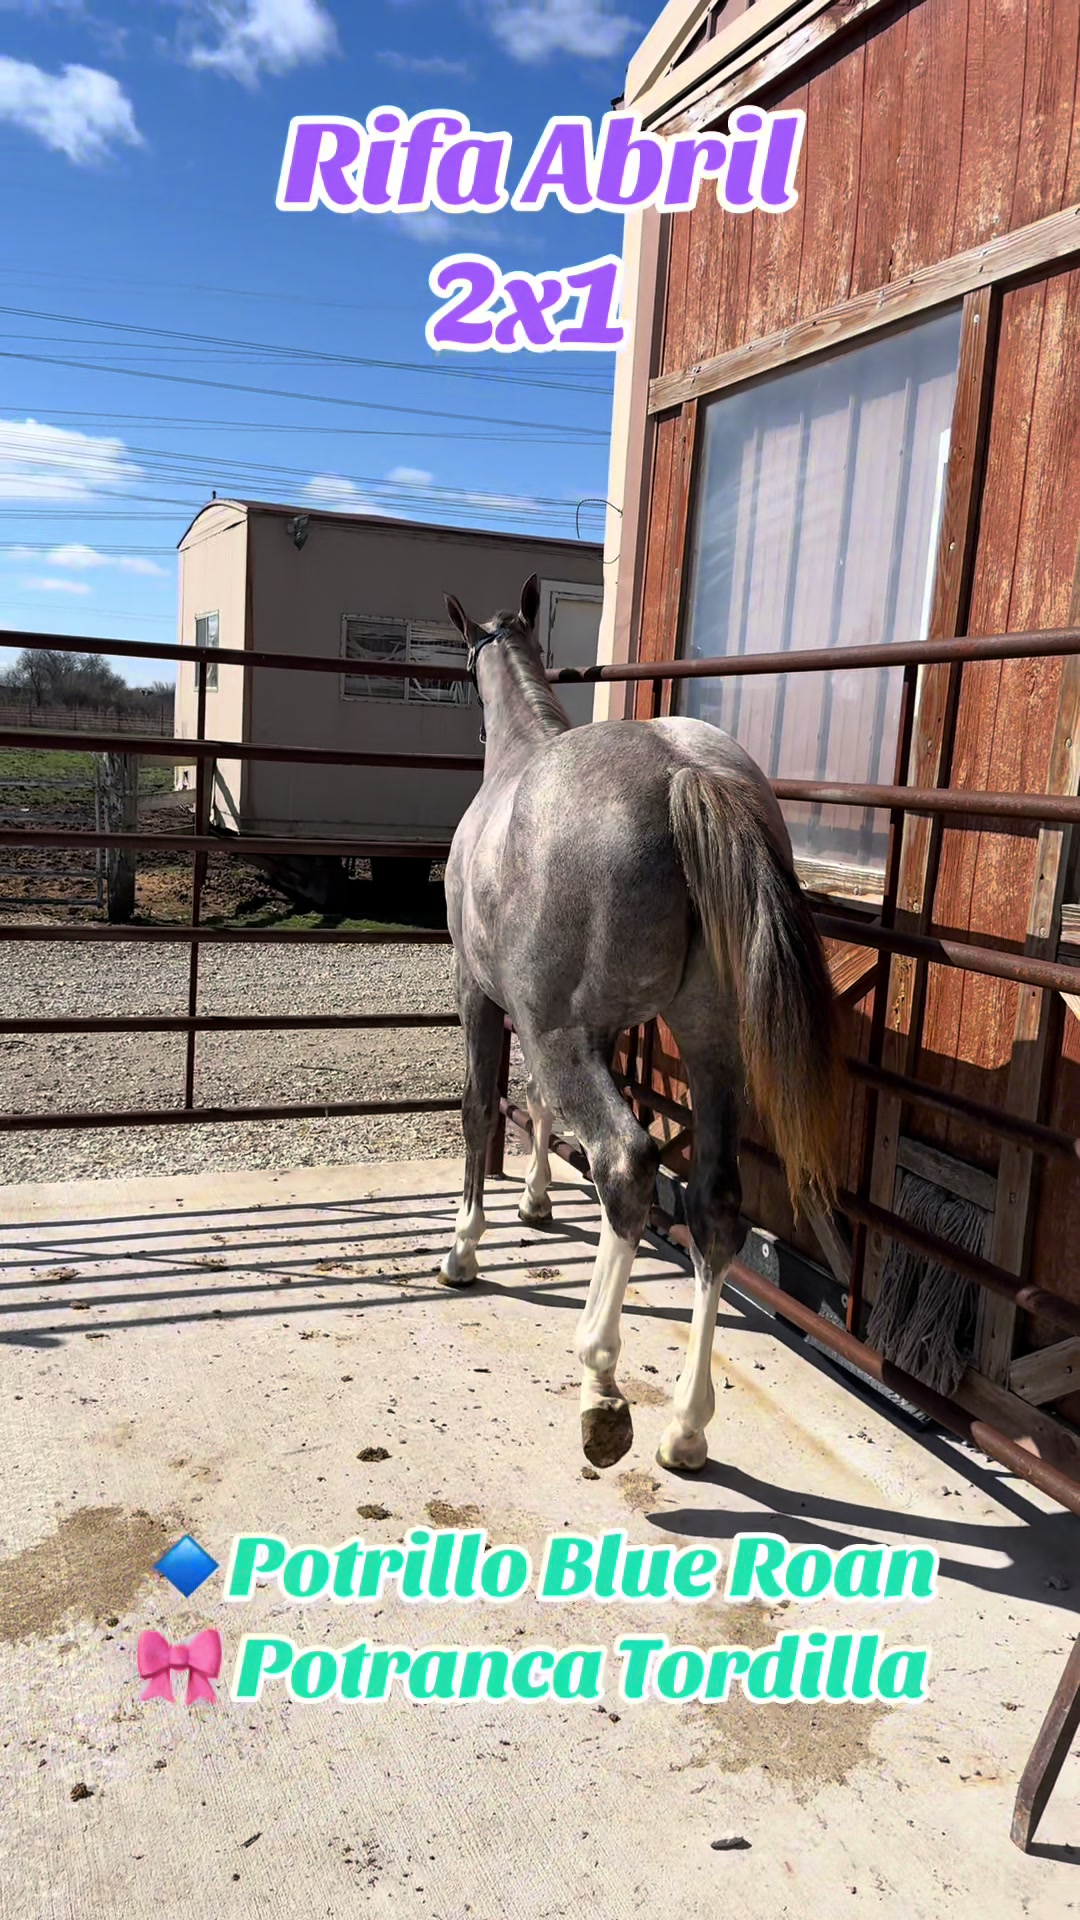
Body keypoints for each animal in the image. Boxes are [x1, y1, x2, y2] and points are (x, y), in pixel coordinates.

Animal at [437, 574, 844, 1474]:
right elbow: (540, 1105)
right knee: (714, 1202)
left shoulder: (486, 996)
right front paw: (537, 1203)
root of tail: (684, 772)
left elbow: (482, 1106)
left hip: (564, 1032)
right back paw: (686, 1430)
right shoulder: (599, 1029)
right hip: (711, 1044)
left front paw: (464, 1249)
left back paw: (600, 1383)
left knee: (625, 1162)